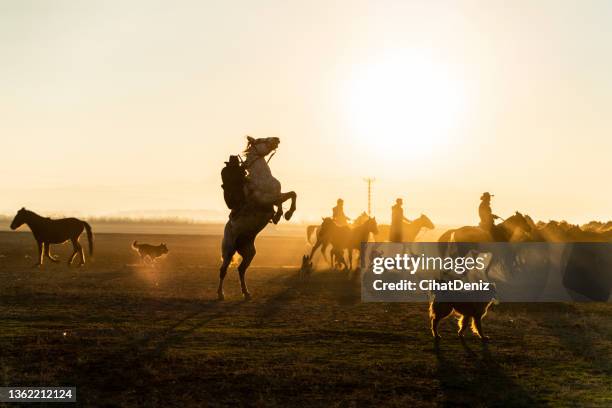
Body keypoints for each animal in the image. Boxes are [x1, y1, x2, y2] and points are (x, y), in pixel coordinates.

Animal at [219, 137, 298, 300]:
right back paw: (220, 294)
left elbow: (291, 194)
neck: (262, 178)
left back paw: (246, 293)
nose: (277, 139)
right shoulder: (266, 200)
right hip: (228, 250)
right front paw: (285, 214)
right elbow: (285, 197)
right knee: (223, 270)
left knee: (241, 269)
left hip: (249, 252)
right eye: (262, 139)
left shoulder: (276, 196)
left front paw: (282, 215)